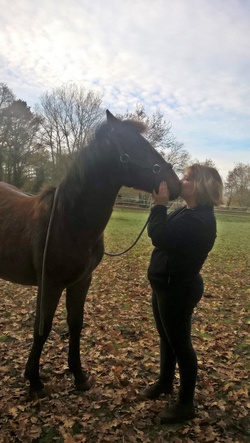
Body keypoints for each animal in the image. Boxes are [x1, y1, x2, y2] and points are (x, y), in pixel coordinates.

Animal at [0, 110, 180, 396]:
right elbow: (42, 327)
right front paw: (35, 380)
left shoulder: (81, 281)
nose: (175, 184)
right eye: (136, 146)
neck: (68, 220)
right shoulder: (49, 284)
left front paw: (79, 375)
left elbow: (76, 324)